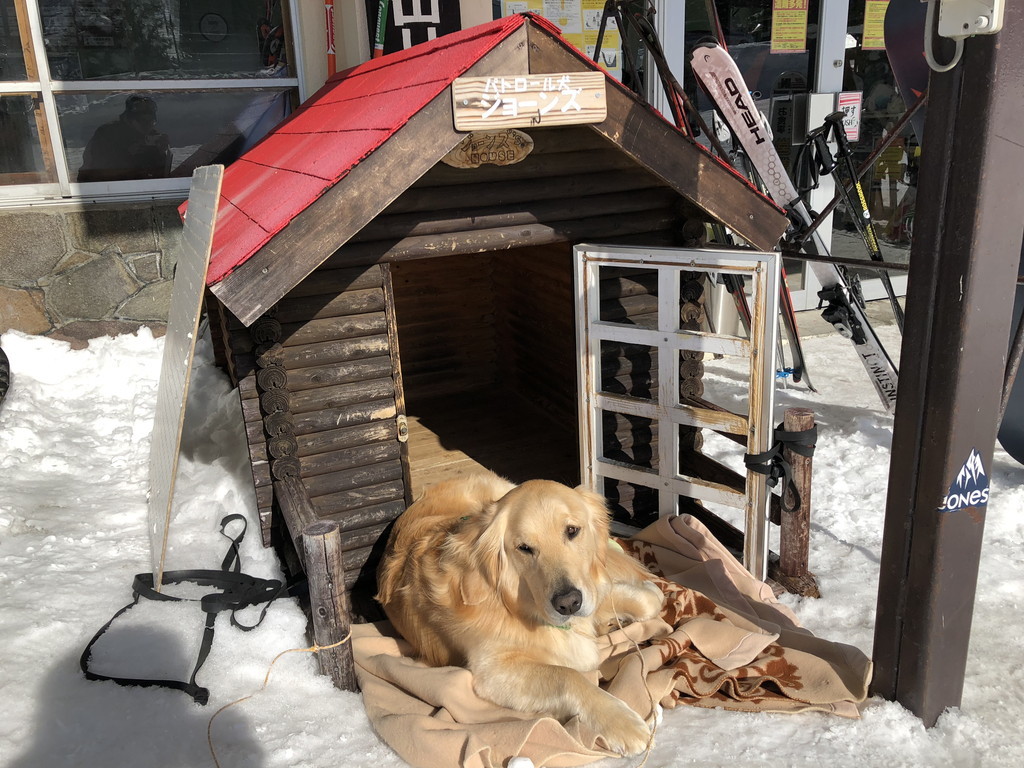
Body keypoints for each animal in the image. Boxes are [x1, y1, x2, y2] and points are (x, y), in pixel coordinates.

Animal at [376, 473, 663, 753]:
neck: (513, 602)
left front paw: (643, 595)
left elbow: (646, 600)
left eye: (572, 531)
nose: (568, 603)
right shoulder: (494, 671)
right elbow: (567, 676)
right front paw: (622, 723)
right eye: (524, 548)